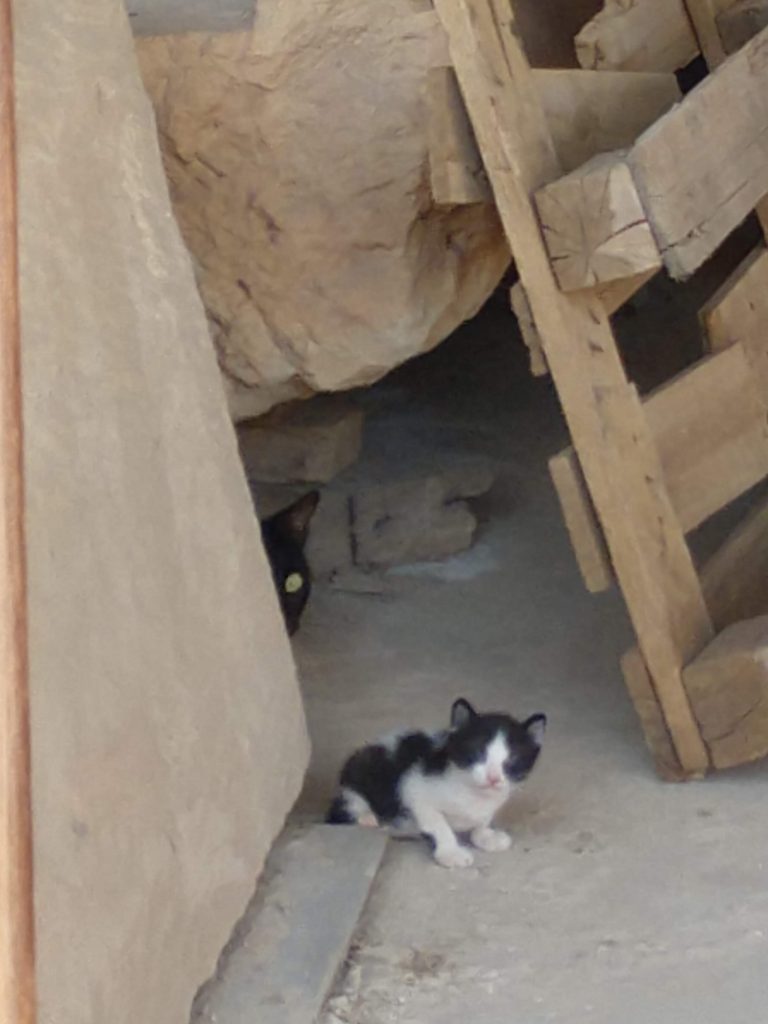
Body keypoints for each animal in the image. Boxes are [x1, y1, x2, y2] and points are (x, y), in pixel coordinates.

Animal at [325, 696, 548, 864]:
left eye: (513, 759)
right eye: (478, 754)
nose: (493, 778)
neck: (470, 791)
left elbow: (482, 820)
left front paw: (486, 835)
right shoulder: (414, 787)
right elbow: (438, 824)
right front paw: (451, 852)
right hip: (359, 771)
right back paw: (367, 818)